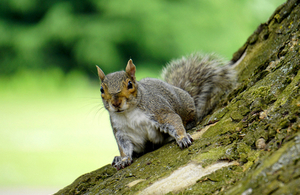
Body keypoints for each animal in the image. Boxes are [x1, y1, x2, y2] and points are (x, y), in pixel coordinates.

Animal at [97, 52, 236, 170]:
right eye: (101, 90)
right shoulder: (122, 131)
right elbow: (124, 147)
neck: (128, 113)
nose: (116, 103)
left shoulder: (158, 110)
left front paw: (182, 138)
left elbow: (173, 120)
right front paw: (124, 159)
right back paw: (117, 158)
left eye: (130, 84)